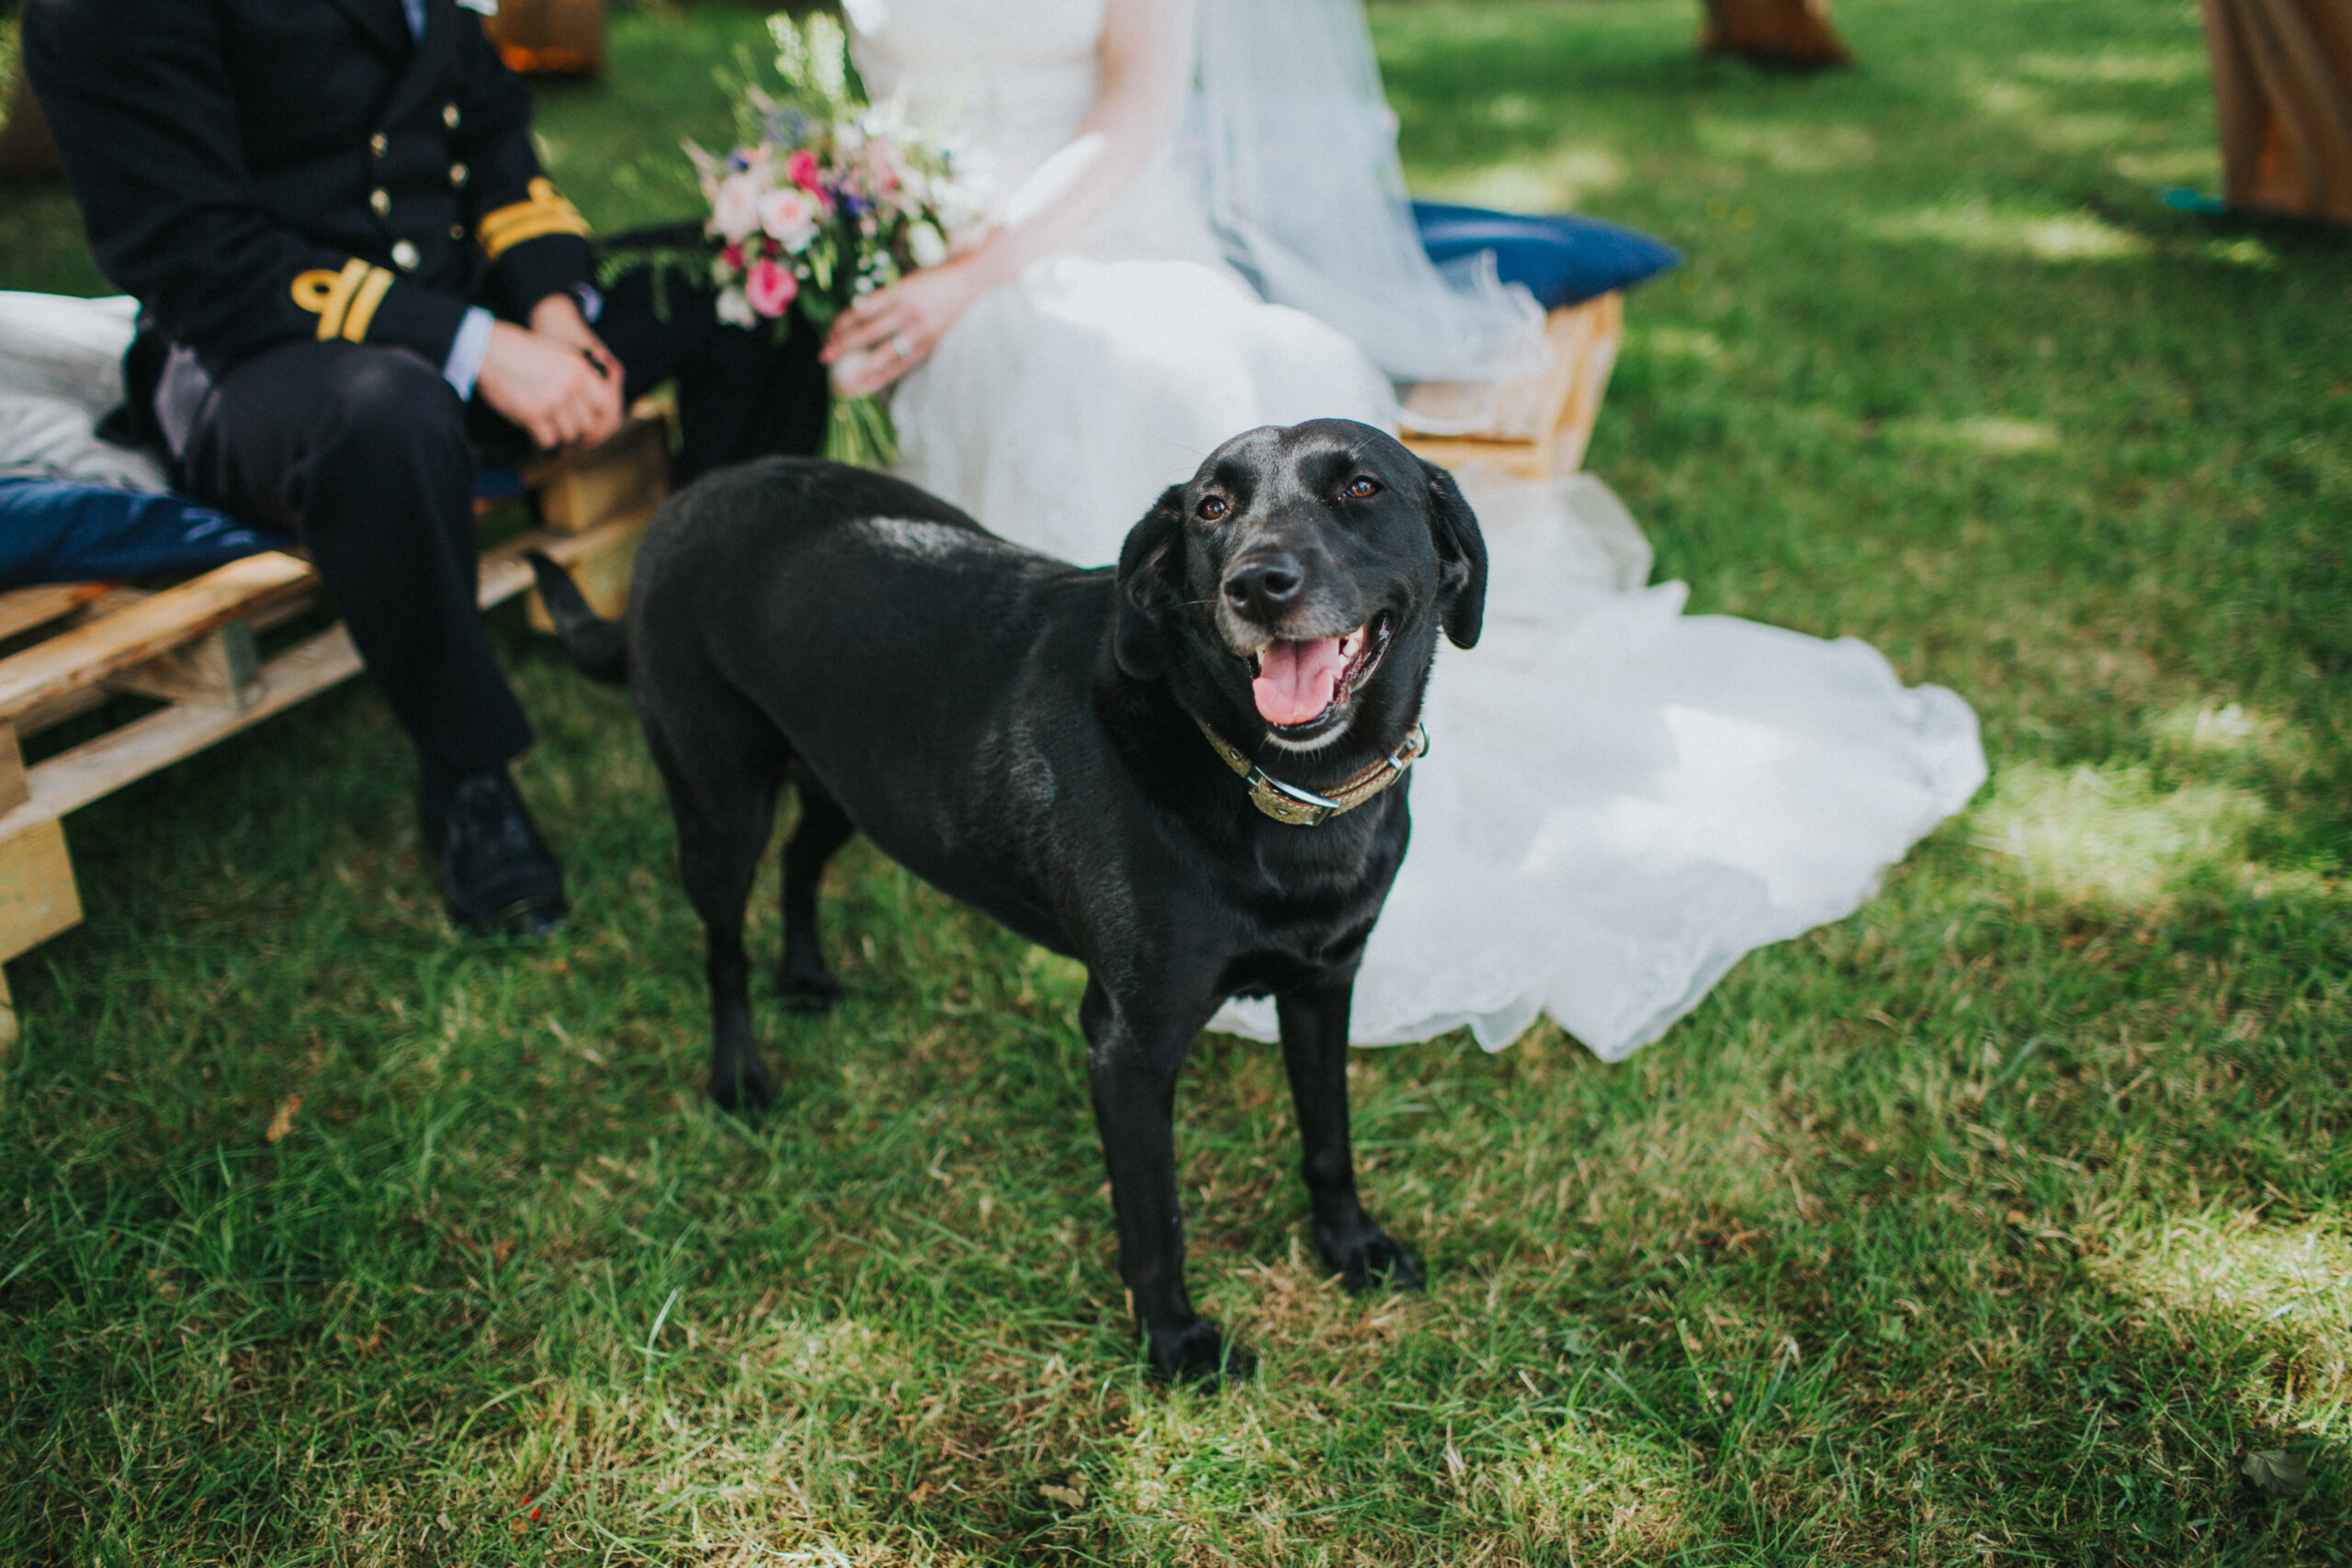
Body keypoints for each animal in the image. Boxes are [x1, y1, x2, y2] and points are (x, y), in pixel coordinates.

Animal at [534, 421, 1486, 1382]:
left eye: (1362, 488)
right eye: (1213, 507)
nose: (1256, 583)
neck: (1287, 789)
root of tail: (686, 500)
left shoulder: (1325, 985)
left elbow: (1329, 1141)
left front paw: (1351, 1246)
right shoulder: (1128, 1045)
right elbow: (1156, 1218)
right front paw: (1174, 1341)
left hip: (857, 786)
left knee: (802, 864)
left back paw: (804, 976)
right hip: (721, 807)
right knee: (723, 947)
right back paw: (738, 1075)